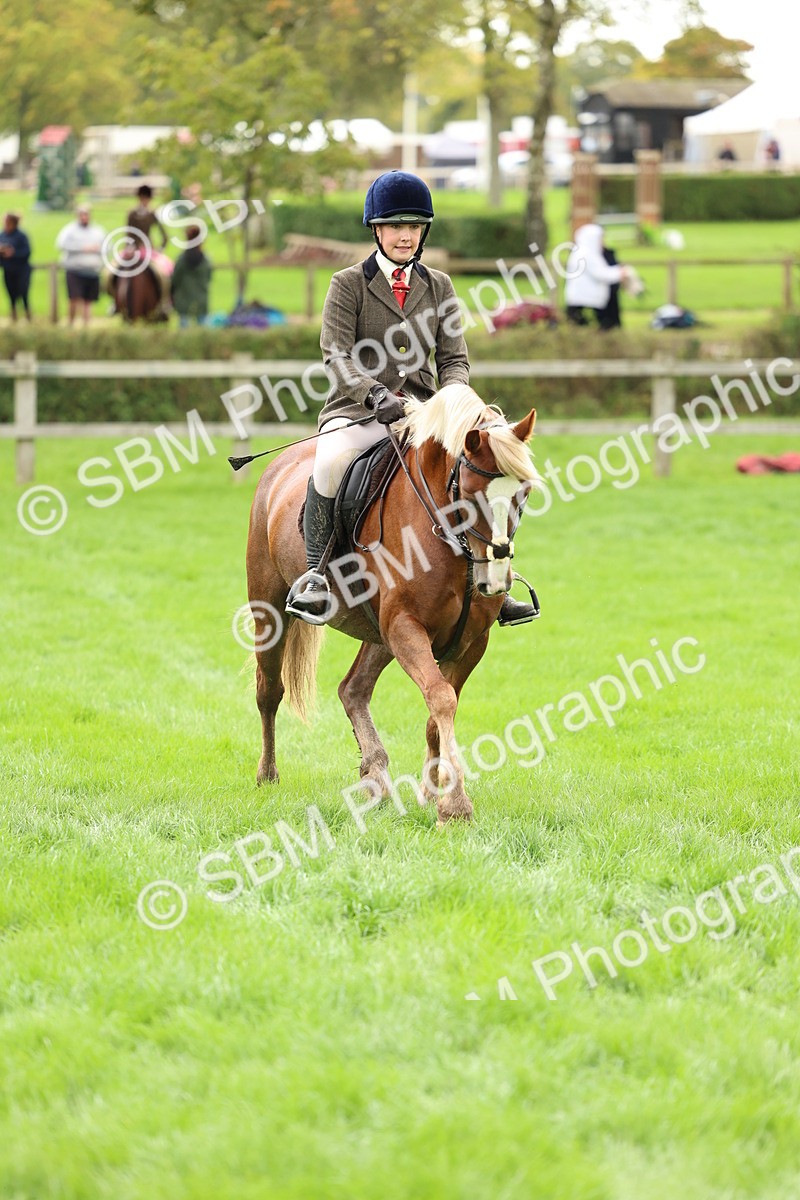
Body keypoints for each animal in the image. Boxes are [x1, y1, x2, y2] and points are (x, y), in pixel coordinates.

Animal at [245, 384, 540, 825]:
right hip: (270, 608)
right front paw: (455, 804)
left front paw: (433, 793)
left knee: (353, 690)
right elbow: (441, 698)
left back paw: (377, 780)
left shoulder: (470, 640)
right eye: (470, 495)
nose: (496, 578)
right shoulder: (405, 626)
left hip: (378, 634)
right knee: (269, 690)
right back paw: (267, 775)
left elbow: (438, 709)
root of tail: (279, 466)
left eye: (525, 491)